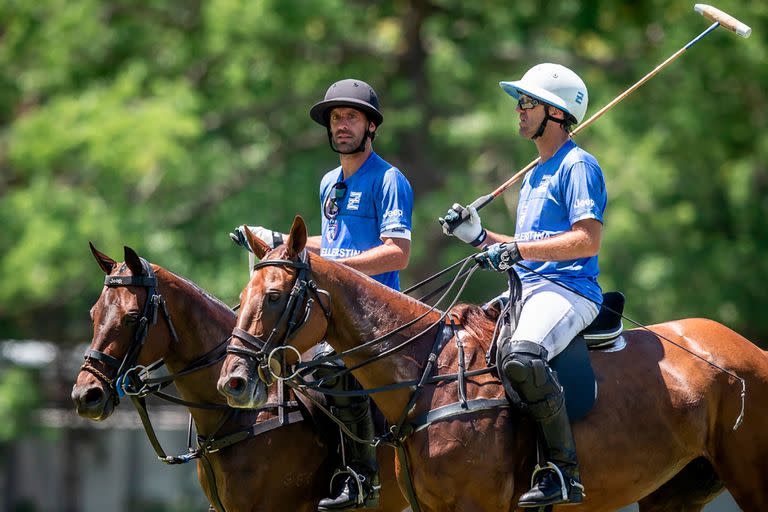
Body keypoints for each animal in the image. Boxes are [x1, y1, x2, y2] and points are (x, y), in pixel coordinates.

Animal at [216, 214, 768, 510]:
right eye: (241, 296)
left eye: (272, 297)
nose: (234, 382)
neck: (426, 376)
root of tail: (750, 349)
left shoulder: (475, 503)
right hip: (677, 488)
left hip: (749, 475)